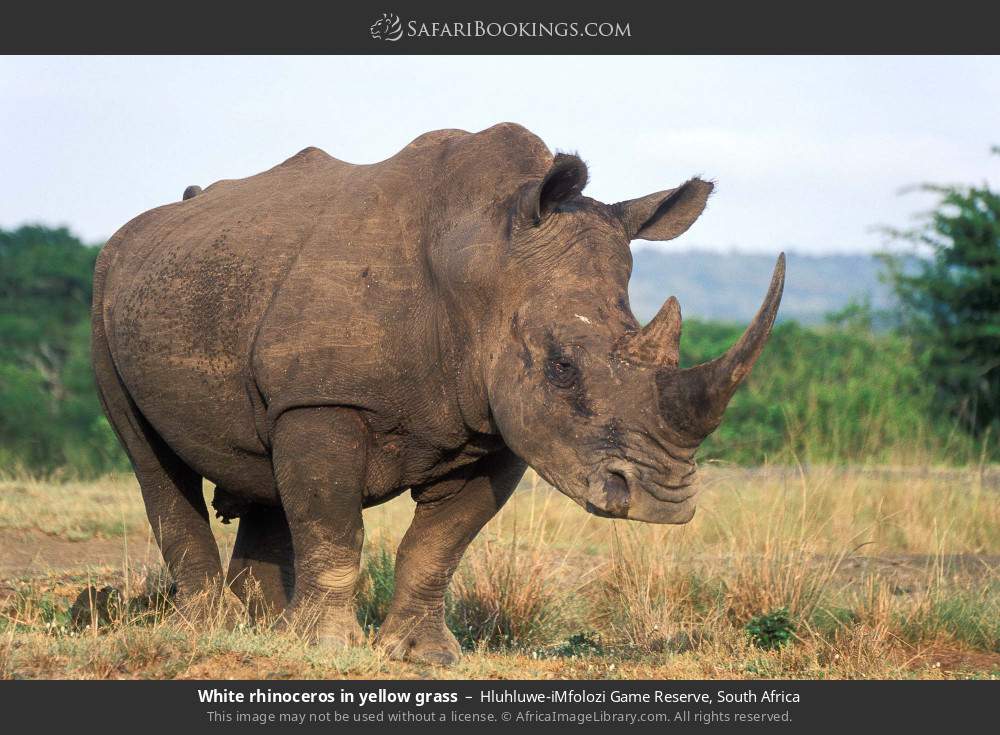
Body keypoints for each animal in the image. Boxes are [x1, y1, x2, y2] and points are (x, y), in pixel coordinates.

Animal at [92, 123, 783, 664]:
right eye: (561, 368)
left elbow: (438, 545)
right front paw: (326, 648)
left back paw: (262, 629)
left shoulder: (497, 423)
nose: (663, 502)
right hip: (108, 291)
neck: (482, 265)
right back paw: (213, 629)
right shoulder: (323, 398)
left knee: (261, 468)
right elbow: (332, 525)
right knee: (149, 456)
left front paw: (422, 654)